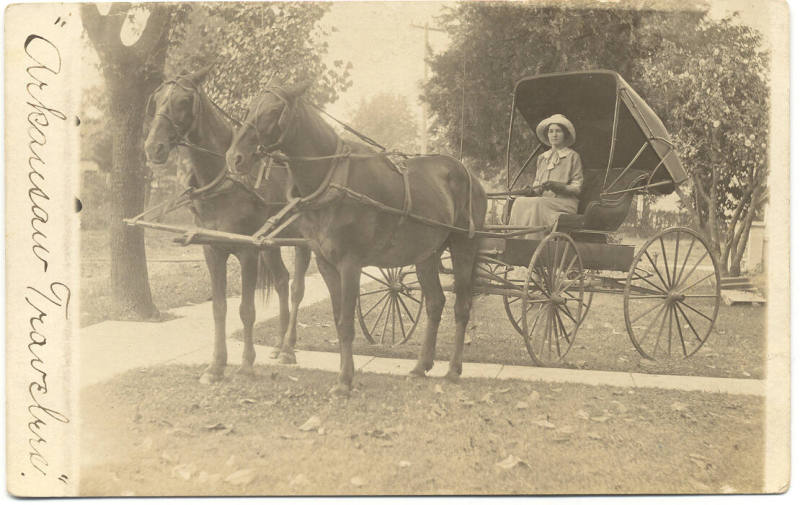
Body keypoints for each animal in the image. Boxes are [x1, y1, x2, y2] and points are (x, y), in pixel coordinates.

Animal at [142, 67, 310, 382]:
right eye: (156, 99)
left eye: (184, 100)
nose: (153, 148)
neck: (224, 180)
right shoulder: (212, 250)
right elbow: (219, 308)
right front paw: (216, 366)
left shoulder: (247, 252)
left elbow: (246, 309)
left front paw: (246, 365)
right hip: (271, 246)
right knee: (282, 281)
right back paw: (279, 344)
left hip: (304, 244)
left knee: (297, 289)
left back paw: (289, 348)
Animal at [225, 81, 488, 394]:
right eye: (250, 107)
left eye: (274, 110)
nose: (235, 157)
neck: (332, 179)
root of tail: (466, 172)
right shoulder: (326, 263)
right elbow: (339, 320)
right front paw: (345, 374)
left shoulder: (350, 263)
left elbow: (347, 322)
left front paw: (344, 381)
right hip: (427, 254)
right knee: (435, 304)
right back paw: (420, 367)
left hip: (464, 246)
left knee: (462, 307)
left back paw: (453, 370)